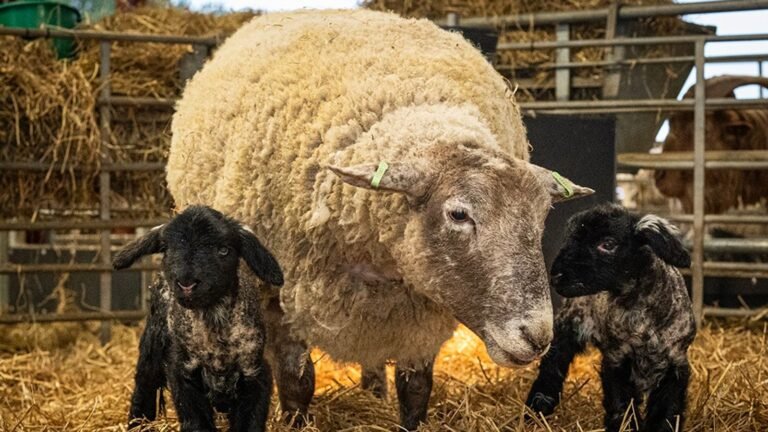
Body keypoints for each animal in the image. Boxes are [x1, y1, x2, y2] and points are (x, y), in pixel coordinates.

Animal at [113, 205, 284, 432]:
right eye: (167, 249)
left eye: (224, 250)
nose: (186, 283)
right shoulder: (183, 373)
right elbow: (196, 421)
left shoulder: (255, 374)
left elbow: (249, 422)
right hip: (154, 338)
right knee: (145, 382)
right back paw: (137, 424)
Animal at [166, 10, 593, 430]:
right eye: (458, 214)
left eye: (541, 218)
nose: (537, 336)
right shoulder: (279, 297)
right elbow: (296, 383)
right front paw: (295, 419)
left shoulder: (421, 316)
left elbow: (416, 389)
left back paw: (373, 393)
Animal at [525, 203, 696, 432]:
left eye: (608, 244)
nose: (556, 276)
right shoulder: (616, 359)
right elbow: (621, 405)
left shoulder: (675, 362)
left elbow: (667, 410)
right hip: (569, 321)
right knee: (554, 363)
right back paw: (538, 406)